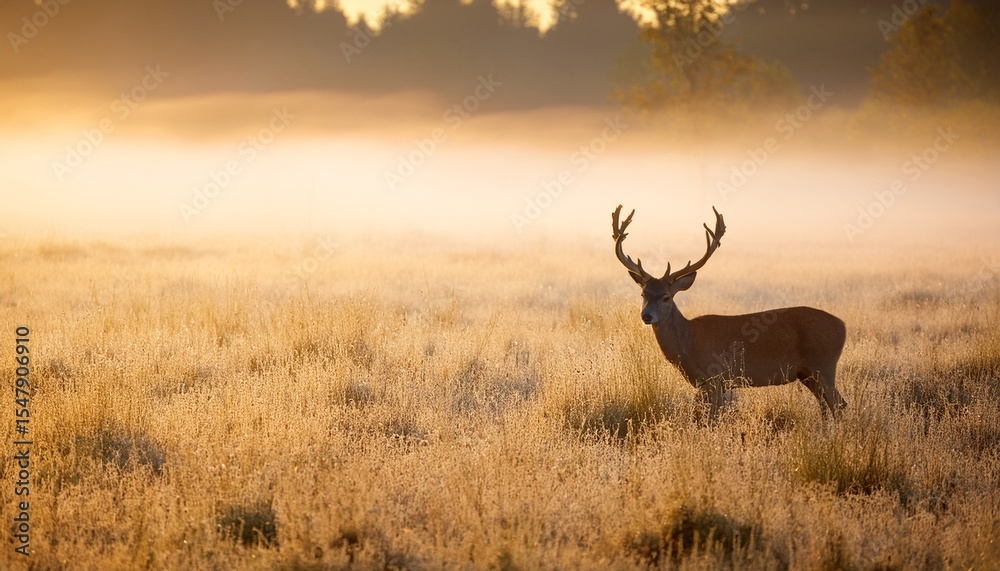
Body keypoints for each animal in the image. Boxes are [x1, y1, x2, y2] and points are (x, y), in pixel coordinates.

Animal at [611, 205, 847, 418]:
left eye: (666, 297)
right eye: (643, 293)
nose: (646, 316)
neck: (689, 343)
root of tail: (843, 326)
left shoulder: (716, 378)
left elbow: (711, 418)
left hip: (823, 364)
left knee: (838, 404)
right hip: (808, 374)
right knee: (828, 405)